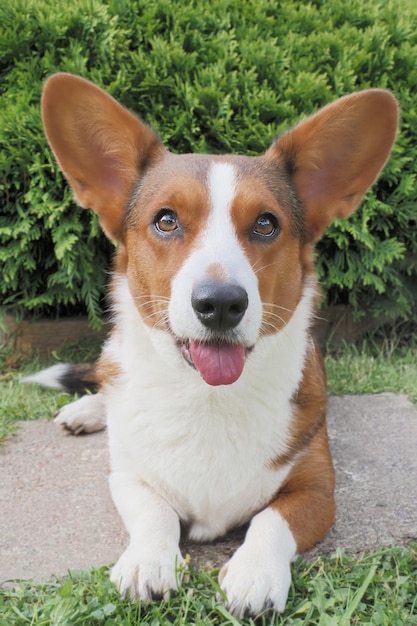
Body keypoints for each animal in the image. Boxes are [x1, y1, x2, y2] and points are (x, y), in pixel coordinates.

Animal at [29, 73, 396, 616]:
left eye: (265, 223)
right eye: (165, 220)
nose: (220, 303)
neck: (209, 397)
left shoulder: (318, 489)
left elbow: (271, 520)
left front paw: (255, 573)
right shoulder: (127, 478)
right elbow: (154, 511)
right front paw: (147, 563)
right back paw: (87, 411)